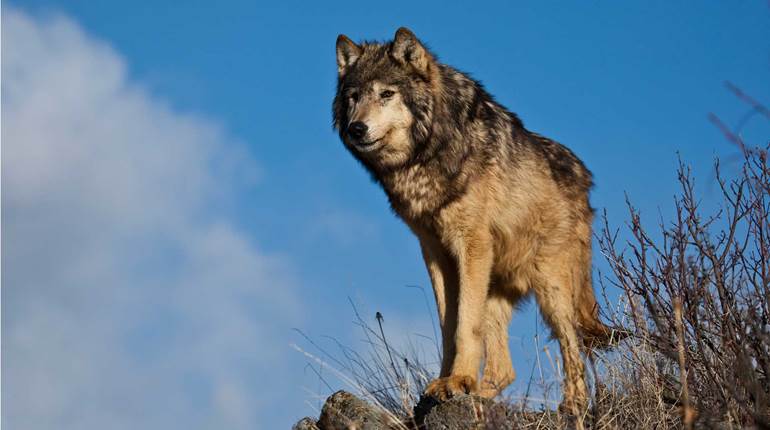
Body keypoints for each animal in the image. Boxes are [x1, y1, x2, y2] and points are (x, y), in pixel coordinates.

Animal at [333, 27, 623, 415]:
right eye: (353, 97)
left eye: (386, 94)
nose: (356, 128)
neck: (428, 153)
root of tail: (586, 179)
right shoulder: (436, 253)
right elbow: (448, 324)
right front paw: (446, 383)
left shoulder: (470, 244)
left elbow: (464, 326)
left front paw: (458, 381)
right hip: (496, 288)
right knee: (505, 370)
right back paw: (482, 395)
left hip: (552, 286)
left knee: (572, 343)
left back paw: (572, 404)